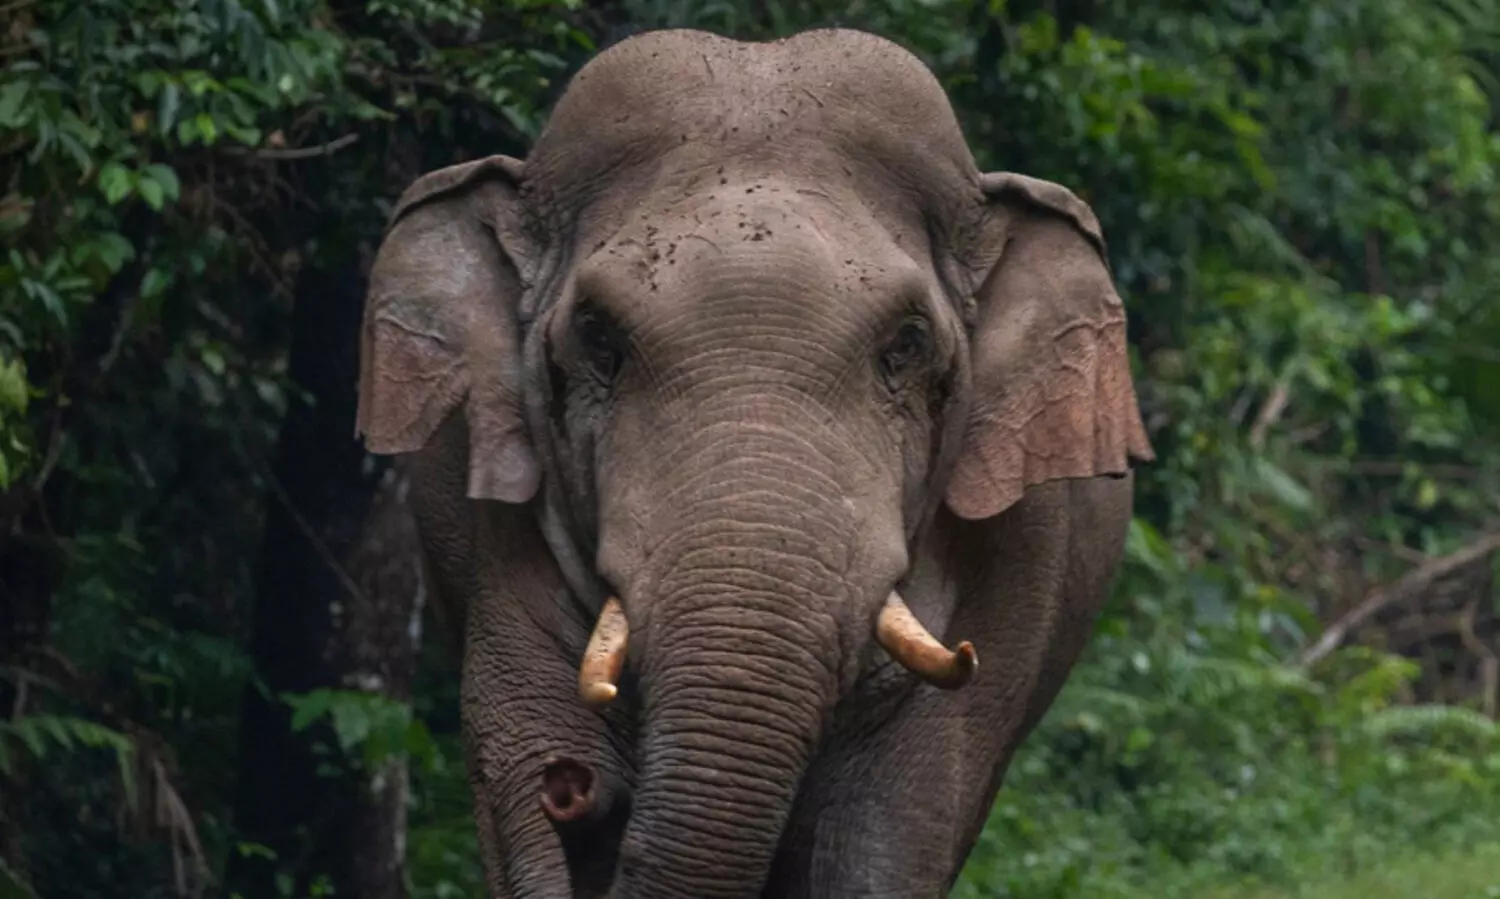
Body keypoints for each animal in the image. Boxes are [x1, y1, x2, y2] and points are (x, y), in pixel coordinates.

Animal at [355, 26, 1153, 899]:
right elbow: (519, 766)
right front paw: (552, 783)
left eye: (906, 346)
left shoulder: (1014, 556)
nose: (574, 791)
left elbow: (884, 837)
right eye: (597, 338)